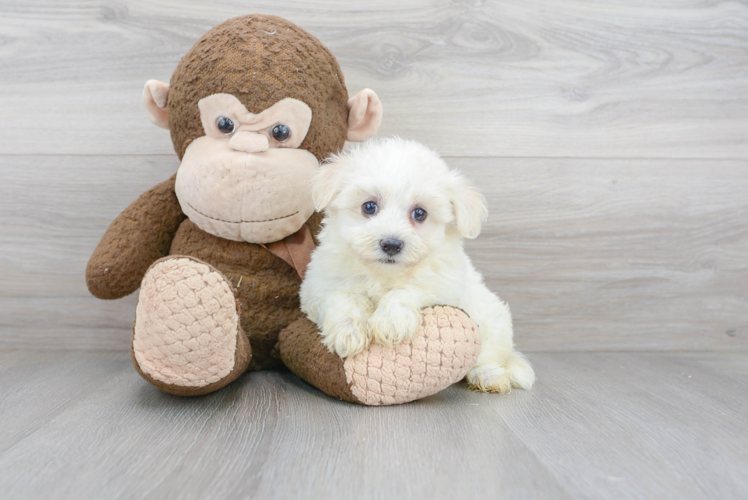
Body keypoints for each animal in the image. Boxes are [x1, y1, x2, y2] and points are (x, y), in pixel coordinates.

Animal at [300, 139, 536, 392]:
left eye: (420, 213)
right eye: (369, 207)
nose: (391, 244)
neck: (384, 273)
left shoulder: (444, 284)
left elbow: (408, 290)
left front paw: (391, 321)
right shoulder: (318, 286)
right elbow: (343, 296)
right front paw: (347, 331)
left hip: (492, 320)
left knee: (489, 355)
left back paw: (488, 376)